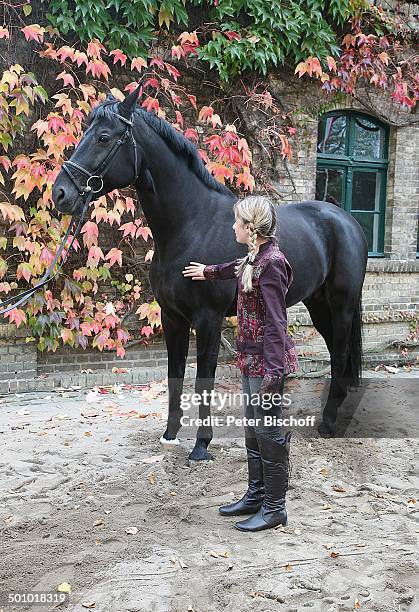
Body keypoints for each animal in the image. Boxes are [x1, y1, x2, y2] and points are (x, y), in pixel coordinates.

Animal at [51, 85, 368, 460]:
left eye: (103, 137)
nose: (60, 193)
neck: (191, 225)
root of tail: (346, 220)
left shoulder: (208, 319)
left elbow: (204, 378)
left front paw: (202, 445)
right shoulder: (172, 317)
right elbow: (175, 375)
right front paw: (170, 435)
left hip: (342, 304)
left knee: (341, 352)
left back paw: (328, 424)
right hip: (318, 305)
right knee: (336, 353)